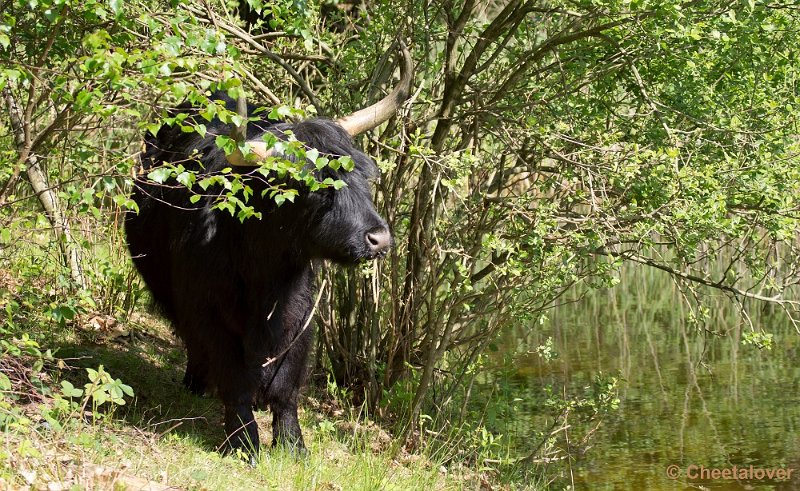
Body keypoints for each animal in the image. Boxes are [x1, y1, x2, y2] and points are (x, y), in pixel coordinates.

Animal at [126, 49, 412, 458]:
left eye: (363, 174)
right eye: (312, 186)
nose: (379, 238)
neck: (264, 274)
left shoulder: (300, 317)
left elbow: (286, 385)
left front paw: (292, 444)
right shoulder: (207, 311)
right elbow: (233, 378)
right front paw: (243, 440)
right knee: (192, 343)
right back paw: (196, 383)